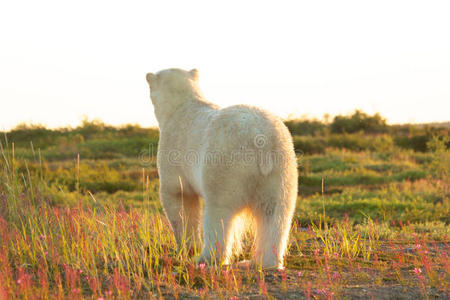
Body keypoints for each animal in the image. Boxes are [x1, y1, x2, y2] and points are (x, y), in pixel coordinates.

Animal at [146, 68, 298, 270]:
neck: (180, 107)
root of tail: (260, 140)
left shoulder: (173, 153)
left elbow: (179, 198)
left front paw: (185, 249)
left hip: (225, 167)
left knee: (219, 212)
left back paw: (206, 258)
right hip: (282, 169)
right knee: (276, 213)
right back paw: (261, 262)